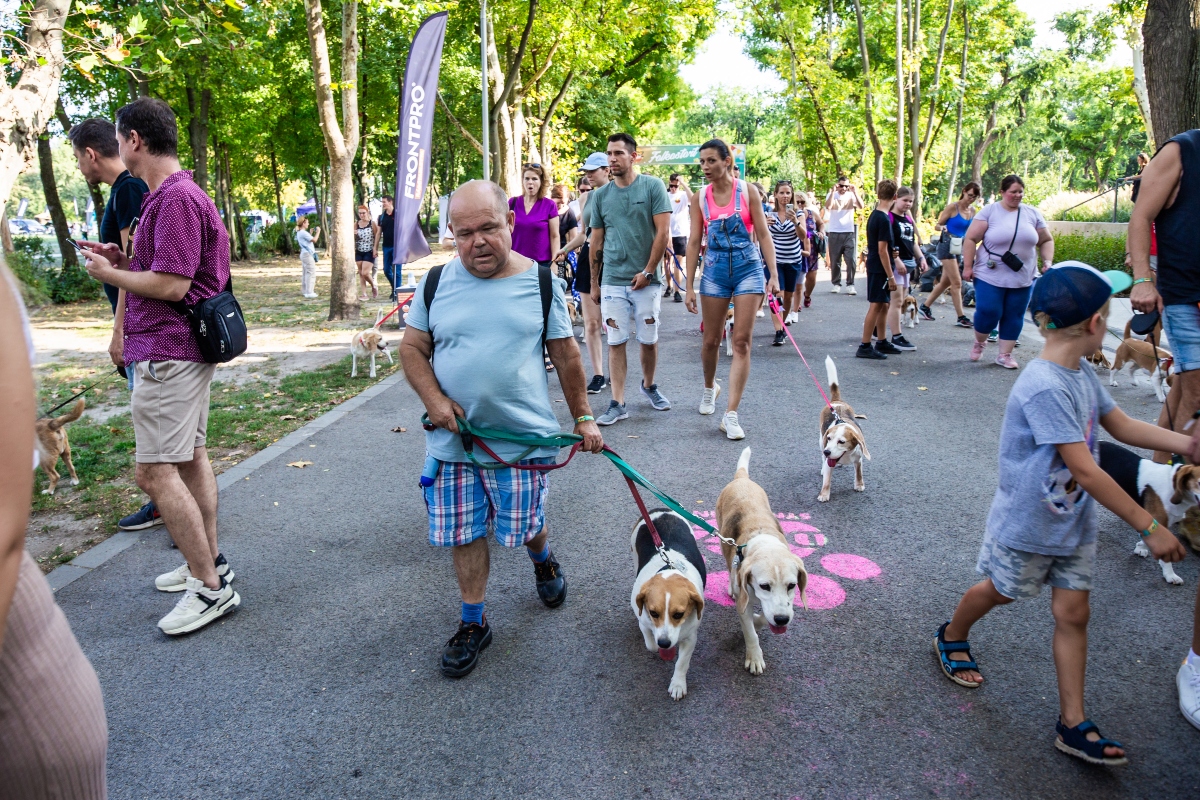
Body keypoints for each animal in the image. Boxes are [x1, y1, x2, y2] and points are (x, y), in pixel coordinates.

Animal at [633, 513, 705, 700]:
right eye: (653, 613)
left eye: (679, 614)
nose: (664, 643)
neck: (669, 570)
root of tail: (661, 511)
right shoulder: (644, 622)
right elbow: (651, 645)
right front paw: (656, 646)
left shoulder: (690, 637)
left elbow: (682, 663)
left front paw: (678, 684)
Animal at [715, 443, 811, 676]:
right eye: (764, 586)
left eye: (792, 585)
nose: (782, 620)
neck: (764, 543)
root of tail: (742, 478)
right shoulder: (744, 600)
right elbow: (750, 632)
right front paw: (755, 657)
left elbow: (763, 620)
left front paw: (762, 621)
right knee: (729, 570)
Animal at [816, 357, 873, 501]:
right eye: (829, 438)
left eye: (841, 442)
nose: (827, 452)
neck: (845, 454)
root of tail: (837, 402)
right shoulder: (828, 459)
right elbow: (827, 481)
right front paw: (824, 495)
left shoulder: (859, 459)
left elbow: (859, 474)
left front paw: (859, 485)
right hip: (820, 442)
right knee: (822, 458)